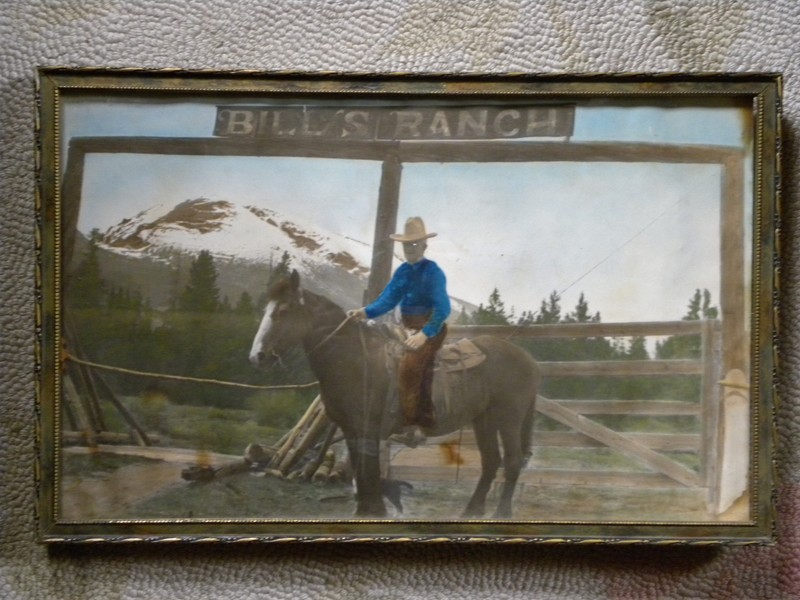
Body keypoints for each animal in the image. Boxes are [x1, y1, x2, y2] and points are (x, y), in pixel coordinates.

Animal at [247, 272, 540, 520]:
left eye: (284, 310)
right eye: (265, 310)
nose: (257, 356)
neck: (356, 359)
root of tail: (527, 358)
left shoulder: (368, 428)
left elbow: (369, 469)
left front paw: (375, 510)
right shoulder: (351, 429)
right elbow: (359, 468)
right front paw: (364, 510)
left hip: (509, 420)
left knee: (512, 462)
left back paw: (501, 513)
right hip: (484, 420)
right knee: (491, 462)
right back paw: (472, 510)